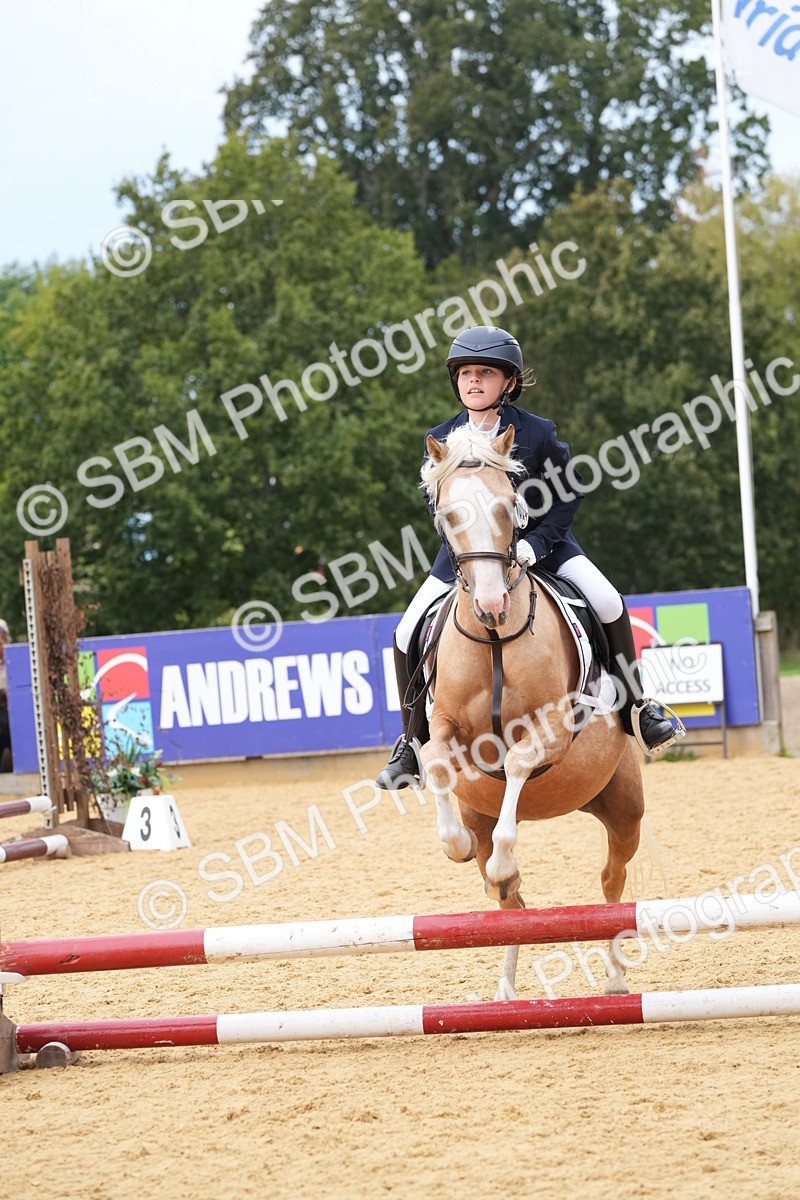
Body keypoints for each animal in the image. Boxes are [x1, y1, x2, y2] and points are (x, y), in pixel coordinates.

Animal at [418, 424, 644, 1000]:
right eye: (446, 513)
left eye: (509, 506)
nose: (491, 606)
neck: (496, 641)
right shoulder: (447, 727)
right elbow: (434, 763)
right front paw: (454, 846)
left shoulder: (553, 730)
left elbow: (519, 763)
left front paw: (503, 858)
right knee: (510, 906)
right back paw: (504, 989)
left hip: (624, 809)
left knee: (612, 882)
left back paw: (614, 979)